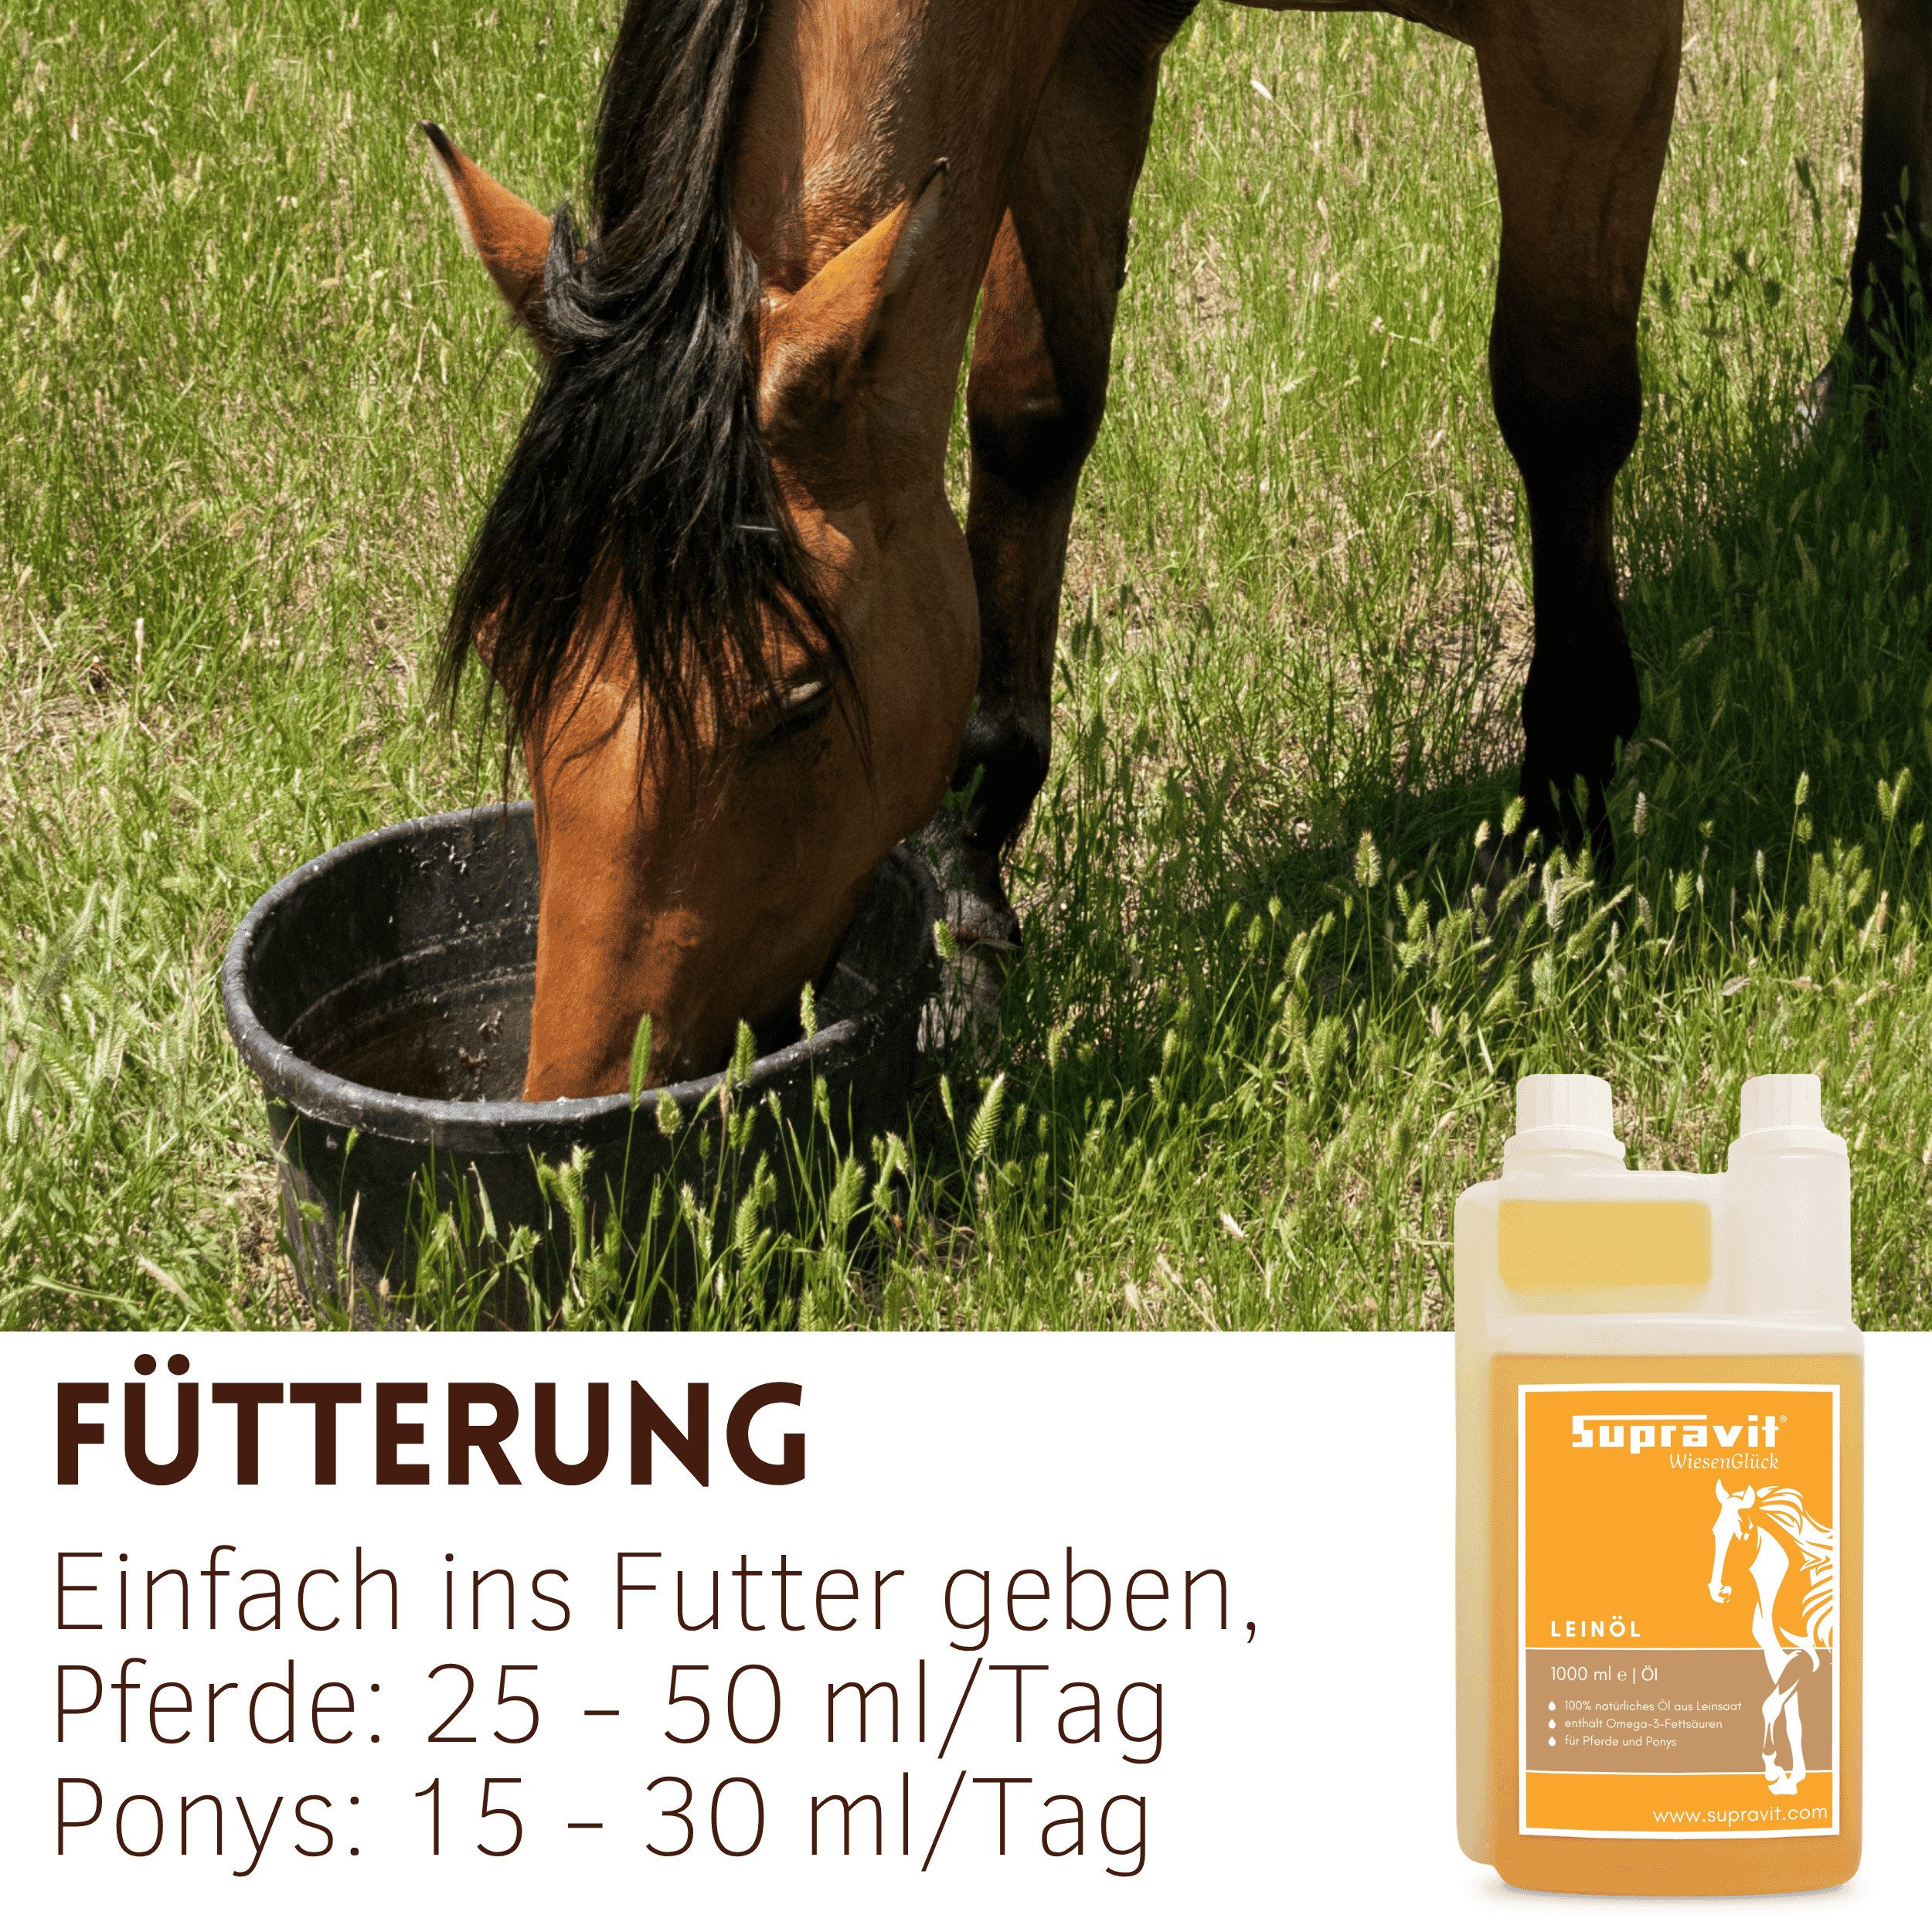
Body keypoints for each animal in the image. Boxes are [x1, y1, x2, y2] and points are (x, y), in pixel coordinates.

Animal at [424, 0, 1932, 1102]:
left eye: (794, 701)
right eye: (509, 661)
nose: (580, 1100)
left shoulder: (1588, 47)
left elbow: (1559, 404)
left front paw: (1562, 814)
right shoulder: (1085, 44)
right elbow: (1033, 415)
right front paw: (972, 875)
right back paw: (1871, 382)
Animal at [1707, 1480, 1838, 1796]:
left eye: (1743, 1534)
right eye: (1715, 1531)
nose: (1719, 1591)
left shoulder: (1809, 1659)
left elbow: (1769, 1706)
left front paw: (1773, 1769)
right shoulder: (1779, 1660)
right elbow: (1792, 1721)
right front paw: (1793, 1776)